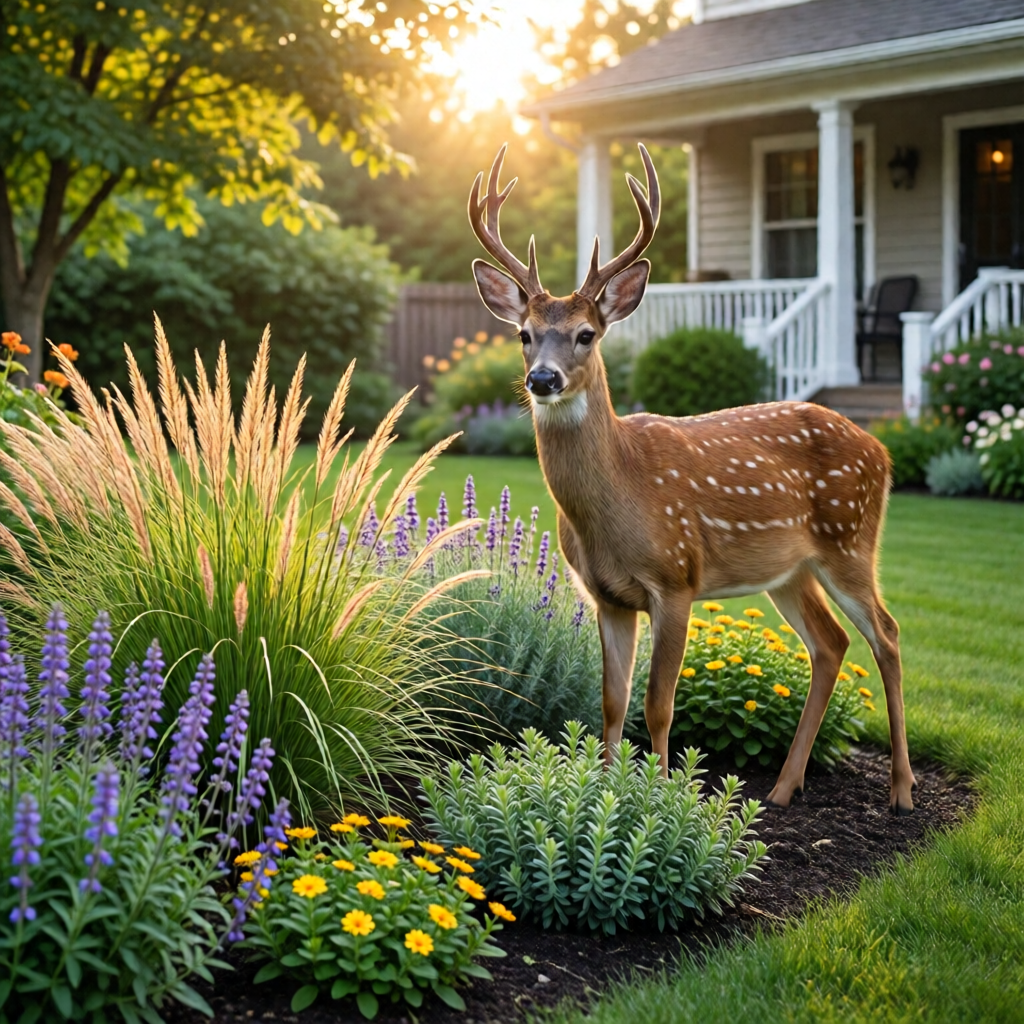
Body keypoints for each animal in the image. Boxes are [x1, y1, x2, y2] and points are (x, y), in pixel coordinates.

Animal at [467, 143, 916, 815]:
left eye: (586, 334)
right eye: (523, 334)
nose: (542, 378)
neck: (618, 501)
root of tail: (882, 451)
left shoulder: (676, 579)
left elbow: (658, 707)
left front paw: (657, 798)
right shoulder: (606, 595)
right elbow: (611, 702)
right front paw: (608, 796)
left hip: (850, 539)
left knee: (886, 635)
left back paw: (902, 791)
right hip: (790, 569)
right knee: (830, 644)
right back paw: (783, 788)